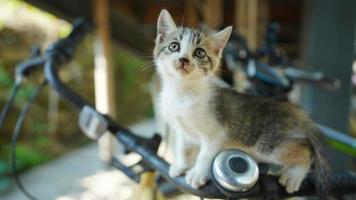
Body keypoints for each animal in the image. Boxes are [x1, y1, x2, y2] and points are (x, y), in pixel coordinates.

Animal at [152, 9, 328, 197]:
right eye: (174, 46)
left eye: (200, 53)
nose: (184, 59)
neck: (182, 92)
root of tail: (295, 111)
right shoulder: (182, 130)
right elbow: (182, 147)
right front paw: (181, 165)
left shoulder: (216, 133)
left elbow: (206, 154)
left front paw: (197, 174)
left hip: (269, 143)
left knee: (305, 151)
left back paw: (293, 176)